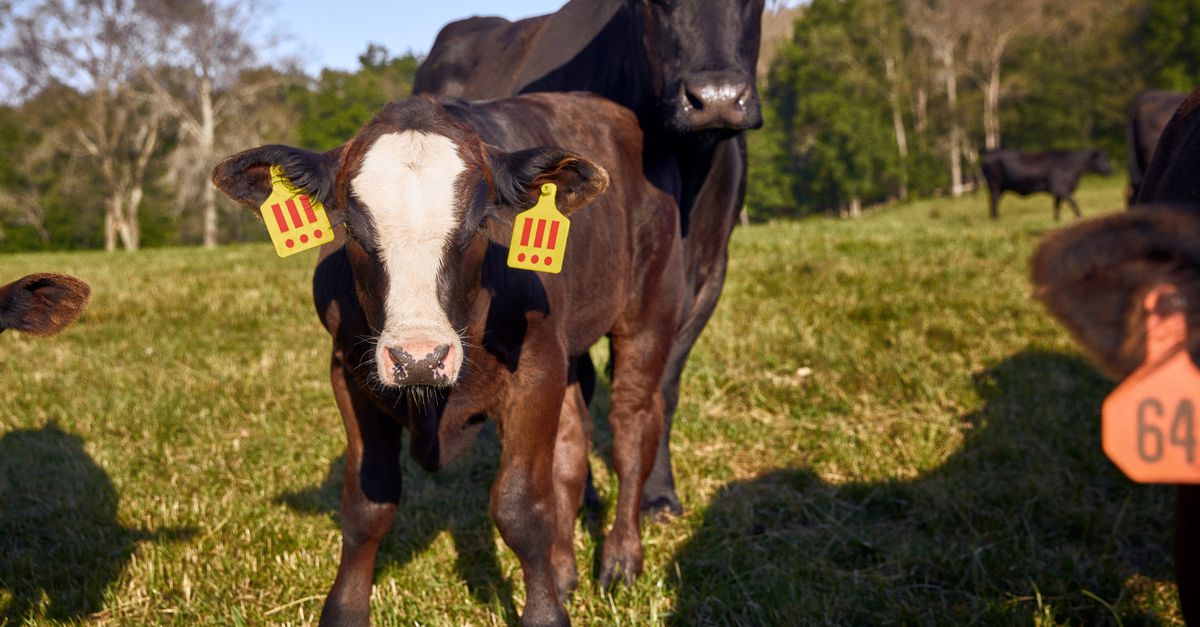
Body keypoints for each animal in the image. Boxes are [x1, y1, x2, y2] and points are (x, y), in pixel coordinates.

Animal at [211, 93, 683, 627]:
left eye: (480, 225)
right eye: (351, 228)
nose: (419, 358)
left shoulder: (535, 370)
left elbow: (521, 507)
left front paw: (545, 613)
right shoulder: (349, 374)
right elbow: (367, 503)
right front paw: (345, 610)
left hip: (648, 314)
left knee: (631, 431)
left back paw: (621, 560)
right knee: (571, 448)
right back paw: (564, 571)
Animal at [414, 0, 766, 518]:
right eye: (652, 4)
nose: (716, 98)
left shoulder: (708, 273)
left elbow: (662, 386)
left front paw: (659, 494)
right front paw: (583, 495)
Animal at [982, 149, 1114, 220]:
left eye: (1107, 158)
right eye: (1102, 159)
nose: (1111, 170)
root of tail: (990, 154)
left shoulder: (1059, 191)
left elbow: (1057, 205)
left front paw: (1056, 219)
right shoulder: (1060, 188)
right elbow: (1072, 201)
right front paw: (1080, 216)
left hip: (999, 188)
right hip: (995, 186)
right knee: (994, 201)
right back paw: (995, 218)